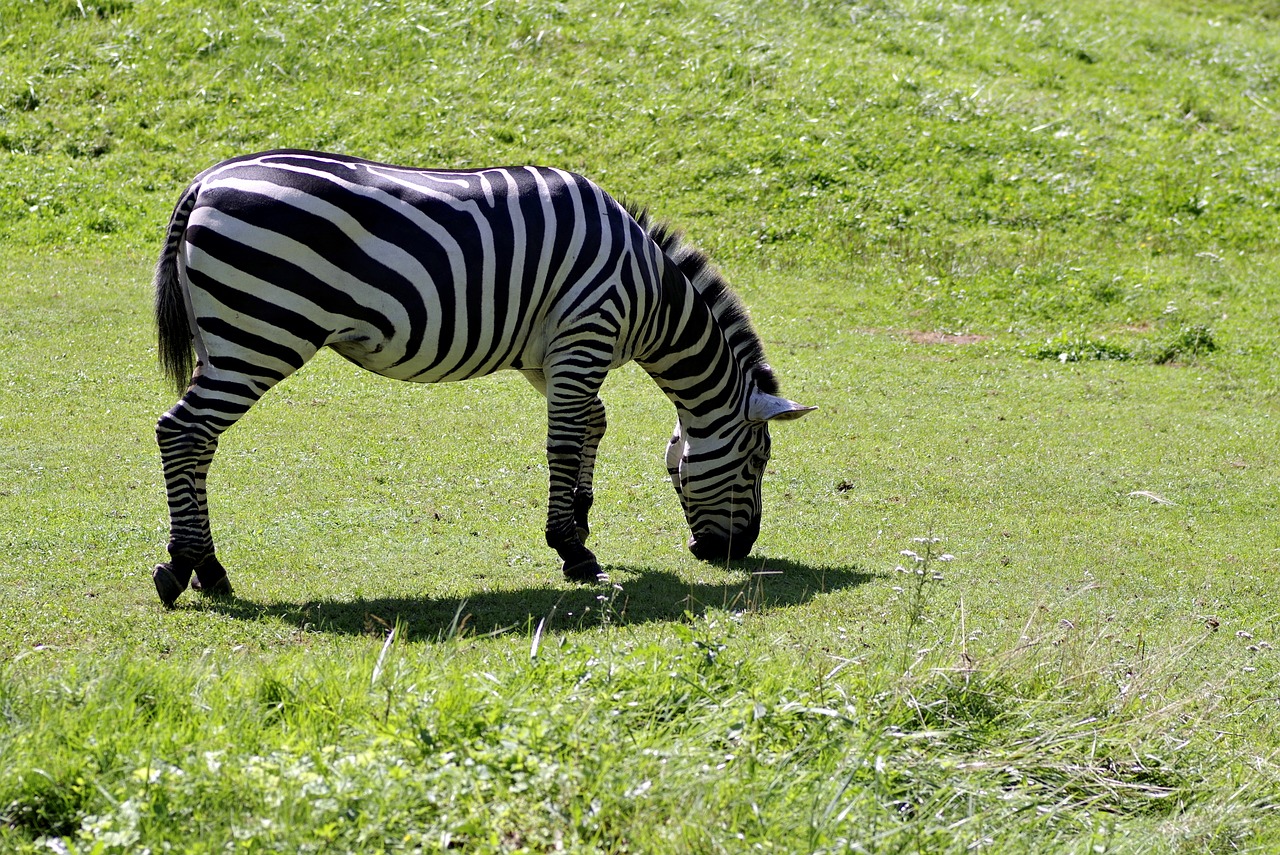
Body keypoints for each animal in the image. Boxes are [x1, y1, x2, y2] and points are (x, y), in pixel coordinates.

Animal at [149, 151, 808, 606]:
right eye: (758, 463)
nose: (732, 552)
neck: (651, 297)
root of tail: (206, 180)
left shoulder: (553, 355)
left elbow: (591, 424)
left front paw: (580, 519)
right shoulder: (586, 331)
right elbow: (565, 439)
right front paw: (575, 551)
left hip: (223, 339)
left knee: (198, 440)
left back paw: (205, 568)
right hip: (261, 333)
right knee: (182, 432)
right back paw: (185, 566)